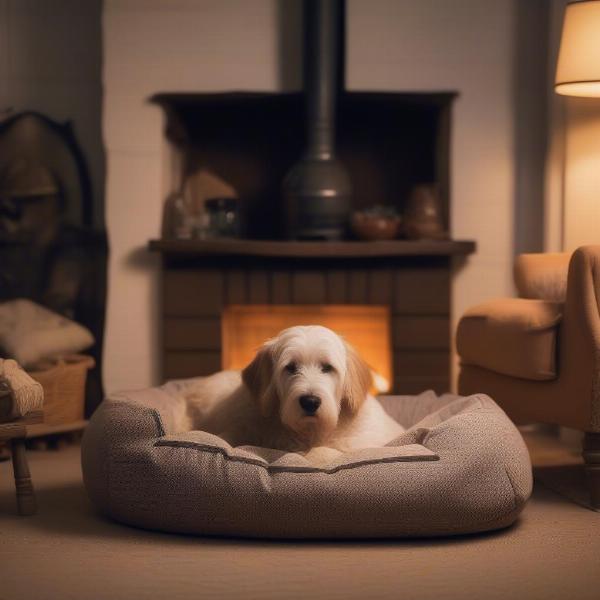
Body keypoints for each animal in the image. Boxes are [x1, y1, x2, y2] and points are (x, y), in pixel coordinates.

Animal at [183, 326, 404, 466]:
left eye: (327, 367)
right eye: (290, 367)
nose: (310, 402)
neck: (310, 432)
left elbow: (324, 451)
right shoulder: (248, 424)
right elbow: (231, 435)